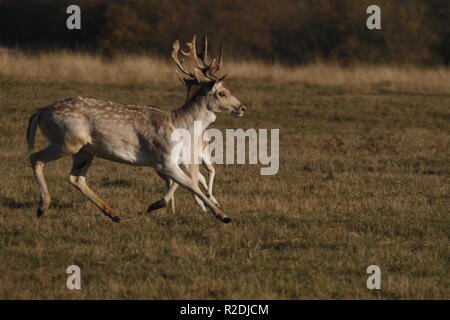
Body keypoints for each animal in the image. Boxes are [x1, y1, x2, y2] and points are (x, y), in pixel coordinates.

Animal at [27, 35, 246, 224]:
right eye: (222, 93)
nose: (242, 107)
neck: (178, 124)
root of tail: (40, 112)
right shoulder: (163, 158)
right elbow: (191, 183)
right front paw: (223, 215)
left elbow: (185, 182)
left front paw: (157, 205)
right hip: (68, 140)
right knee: (35, 157)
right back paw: (42, 207)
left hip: (85, 150)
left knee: (76, 178)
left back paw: (113, 214)